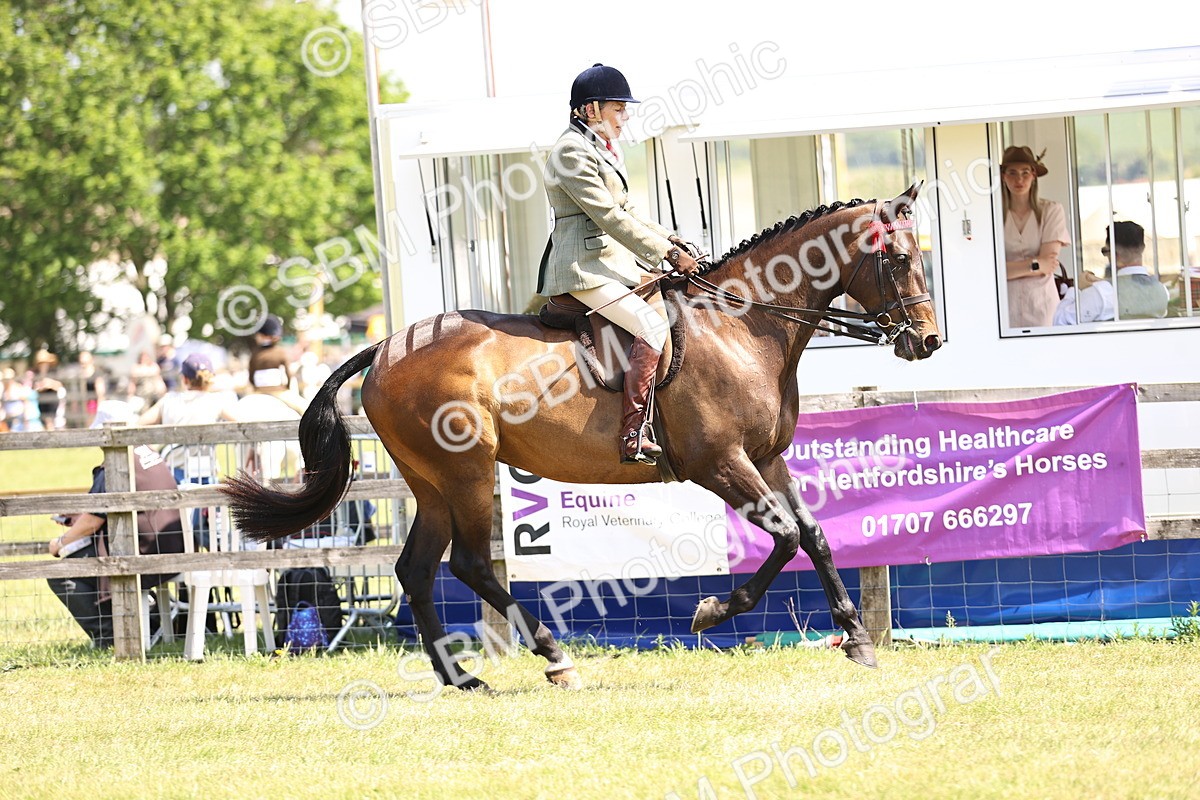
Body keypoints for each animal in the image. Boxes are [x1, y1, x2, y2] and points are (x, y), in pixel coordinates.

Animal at [222, 183, 942, 692]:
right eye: (899, 258)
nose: (928, 340)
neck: (740, 325)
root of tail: (385, 348)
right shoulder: (720, 463)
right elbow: (788, 537)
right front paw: (713, 610)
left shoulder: (766, 458)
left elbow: (814, 536)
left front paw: (856, 638)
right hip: (467, 473)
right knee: (471, 564)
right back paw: (553, 657)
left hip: (431, 483)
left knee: (416, 569)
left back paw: (462, 677)